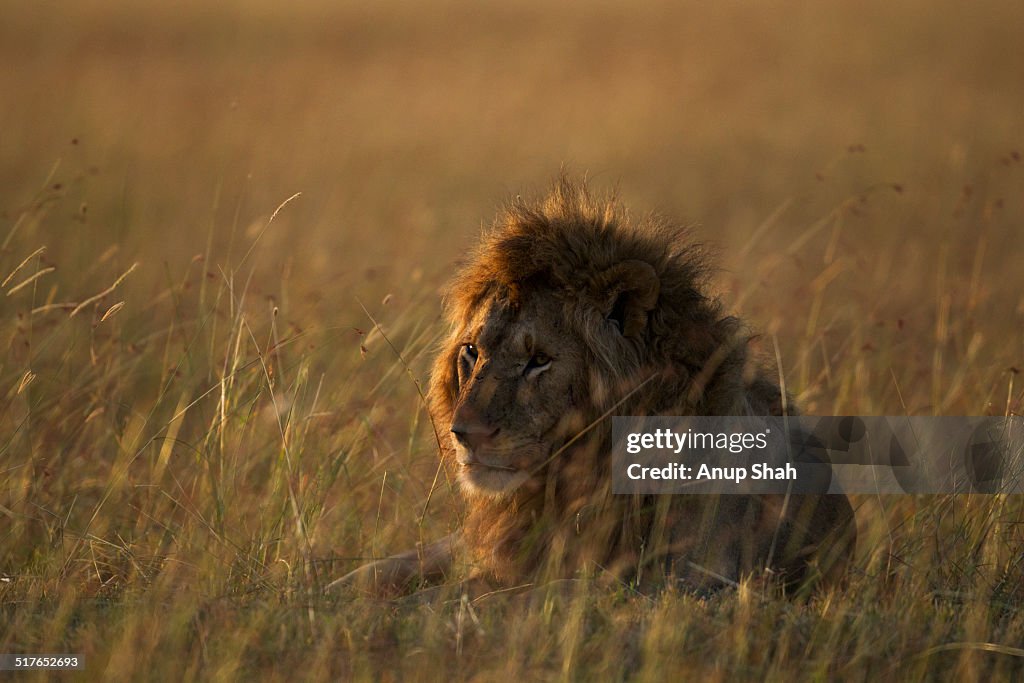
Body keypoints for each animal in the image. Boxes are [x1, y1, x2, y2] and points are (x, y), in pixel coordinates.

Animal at [329, 179, 856, 593]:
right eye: (472, 352)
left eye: (538, 361)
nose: (465, 434)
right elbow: (393, 571)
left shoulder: (683, 585)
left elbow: (485, 593)